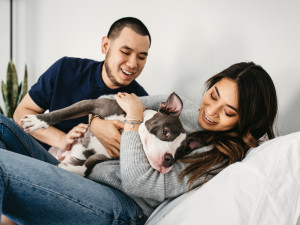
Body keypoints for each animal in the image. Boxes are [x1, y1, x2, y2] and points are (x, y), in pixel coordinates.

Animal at [21, 92, 188, 177]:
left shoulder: (105, 155)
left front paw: (68, 168)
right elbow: (63, 113)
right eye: (165, 132)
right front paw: (38, 120)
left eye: (180, 153)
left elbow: (86, 167)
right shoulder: (92, 104)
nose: (170, 160)